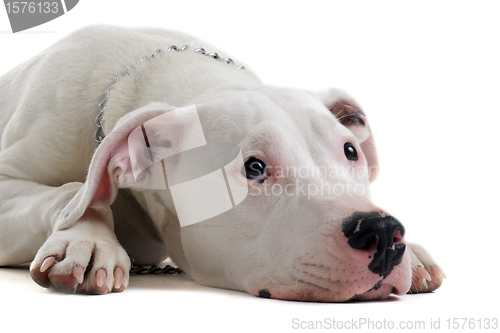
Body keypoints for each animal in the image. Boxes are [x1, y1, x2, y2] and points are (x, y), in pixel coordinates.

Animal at [0, 26, 446, 300]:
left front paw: (415, 254)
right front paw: (87, 241)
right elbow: (75, 190)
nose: (383, 232)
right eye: (254, 168)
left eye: (351, 151)